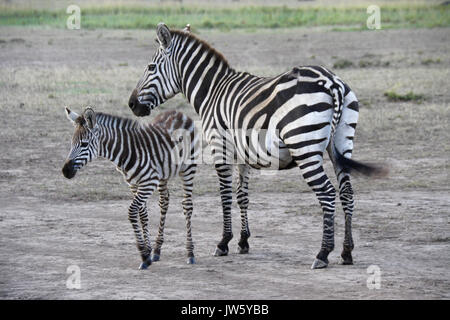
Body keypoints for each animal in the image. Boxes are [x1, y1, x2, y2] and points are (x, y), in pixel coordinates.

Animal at [62, 108, 200, 270]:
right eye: (72, 143)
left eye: (84, 144)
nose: (65, 171)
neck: (127, 151)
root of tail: (178, 112)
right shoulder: (134, 184)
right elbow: (143, 214)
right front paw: (148, 251)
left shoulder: (148, 182)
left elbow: (132, 211)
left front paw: (144, 255)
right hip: (163, 175)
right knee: (164, 202)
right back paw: (157, 249)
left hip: (188, 168)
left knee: (187, 206)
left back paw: (190, 252)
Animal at [127, 23, 386, 268]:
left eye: (151, 67)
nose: (131, 105)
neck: (212, 91)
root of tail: (332, 82)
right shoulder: (243, 153)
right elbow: (242, 195)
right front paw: (243, 241)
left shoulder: (220, 147)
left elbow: (225, 194)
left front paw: (224, 242)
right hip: (341, 142)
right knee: (347, 192)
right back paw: (346, 252)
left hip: (305, 146)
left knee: (327, 193)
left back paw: (322, 254)